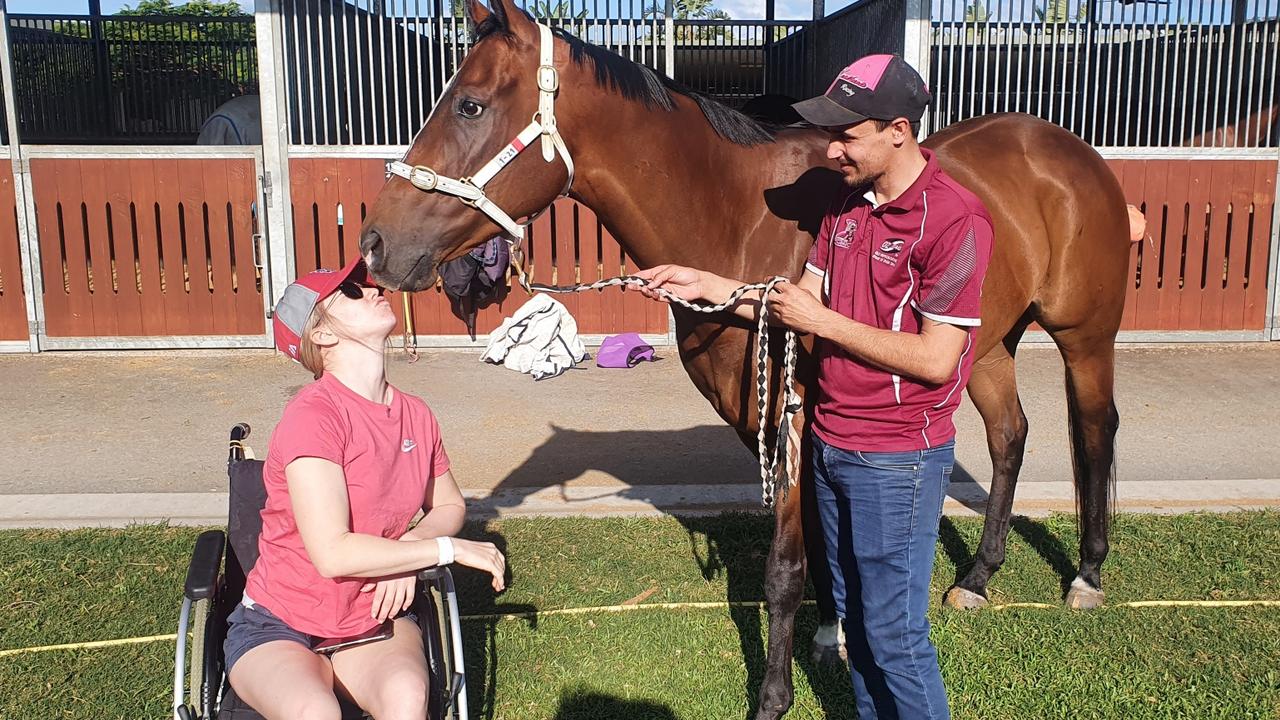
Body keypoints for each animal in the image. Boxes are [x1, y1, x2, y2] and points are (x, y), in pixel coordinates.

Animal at [360, 1, 1131, 712]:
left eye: (470, 104)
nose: (373, 245)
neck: (741, 221)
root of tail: (1068, 151)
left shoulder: (790, 421)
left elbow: (784, 567)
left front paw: (774, 696)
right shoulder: (774, 420)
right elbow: (822, 540)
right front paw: (835, 632)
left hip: (1084, 338)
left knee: (1095, 432)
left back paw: (1088, 575)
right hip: (988, 344)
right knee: (1009, 437)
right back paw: (977, 579)